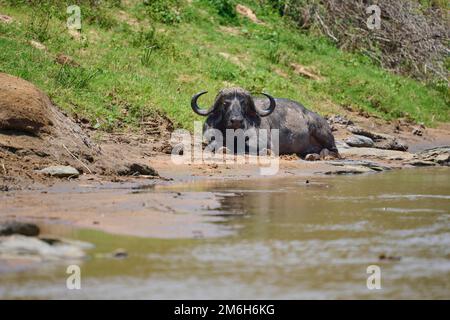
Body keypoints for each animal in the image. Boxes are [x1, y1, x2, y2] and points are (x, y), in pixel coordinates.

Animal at [192, 87, 340, 158]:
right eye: (225, 103)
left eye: (243, 103)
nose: (236, 121)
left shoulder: (264, 142)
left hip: (322, 131)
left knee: (335, 151)